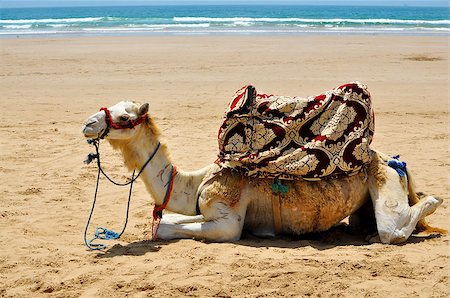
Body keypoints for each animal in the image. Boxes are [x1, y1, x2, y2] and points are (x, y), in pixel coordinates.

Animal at [82, 101, 444, 243]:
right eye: (111, 105)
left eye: (125, 117)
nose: (88, 123)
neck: (195, 182)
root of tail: (395, 161)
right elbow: (167, 220)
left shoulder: (228, 221)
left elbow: (165, 228)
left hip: (385, 183)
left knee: (392, 229)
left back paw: (433, 200)